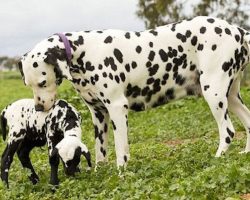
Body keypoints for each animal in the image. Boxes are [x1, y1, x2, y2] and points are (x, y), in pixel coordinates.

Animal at [18, 16, 250, 169]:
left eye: (42, 82)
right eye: (28, 84)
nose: (39, 106)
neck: (83, 52)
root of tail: (236, 29)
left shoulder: (117, 108)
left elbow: (121, 150)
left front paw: (121, 172)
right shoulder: (99, 114)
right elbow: (100, 150)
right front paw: (100, 172)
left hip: (214, 93)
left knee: (228, 131)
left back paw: (218, 158)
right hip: (231, 97)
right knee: (247, 123)